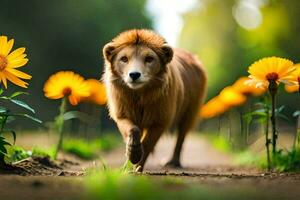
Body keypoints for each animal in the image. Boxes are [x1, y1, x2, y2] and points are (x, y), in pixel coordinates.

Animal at [102, 29, 206, 172]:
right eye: (124, 59)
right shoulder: (122, 113)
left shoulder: (160, 119)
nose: (134, 74)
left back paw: (174, 162)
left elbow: (147, 143)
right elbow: (133, 130)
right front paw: (132, 155)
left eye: (149, 59)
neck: (140, 95)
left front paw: (138, 165)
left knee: (180, 138)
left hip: (189, 113)